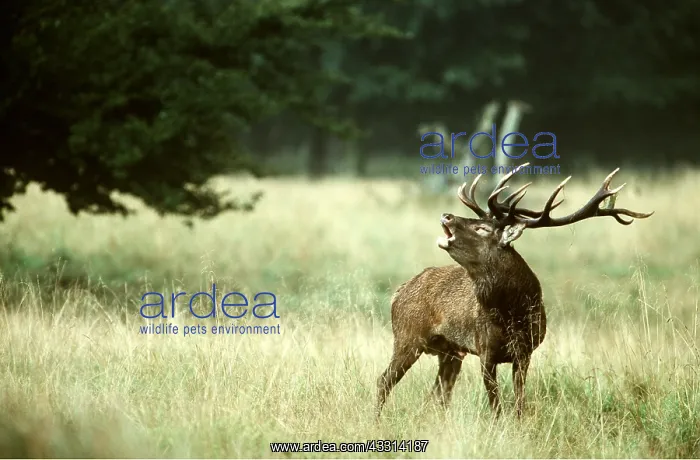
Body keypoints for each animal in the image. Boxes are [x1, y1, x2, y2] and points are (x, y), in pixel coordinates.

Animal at [376, 163, 653, 419]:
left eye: (482, 228)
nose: (447, 216)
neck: (513, 313)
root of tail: (398, 292)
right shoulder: (485, 349)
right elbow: (496, 405)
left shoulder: (524, 352)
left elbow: (519, 401)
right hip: (408, 336)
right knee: (384, 381)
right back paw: (377, 420)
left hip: (449, 350)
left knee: (438, 392)